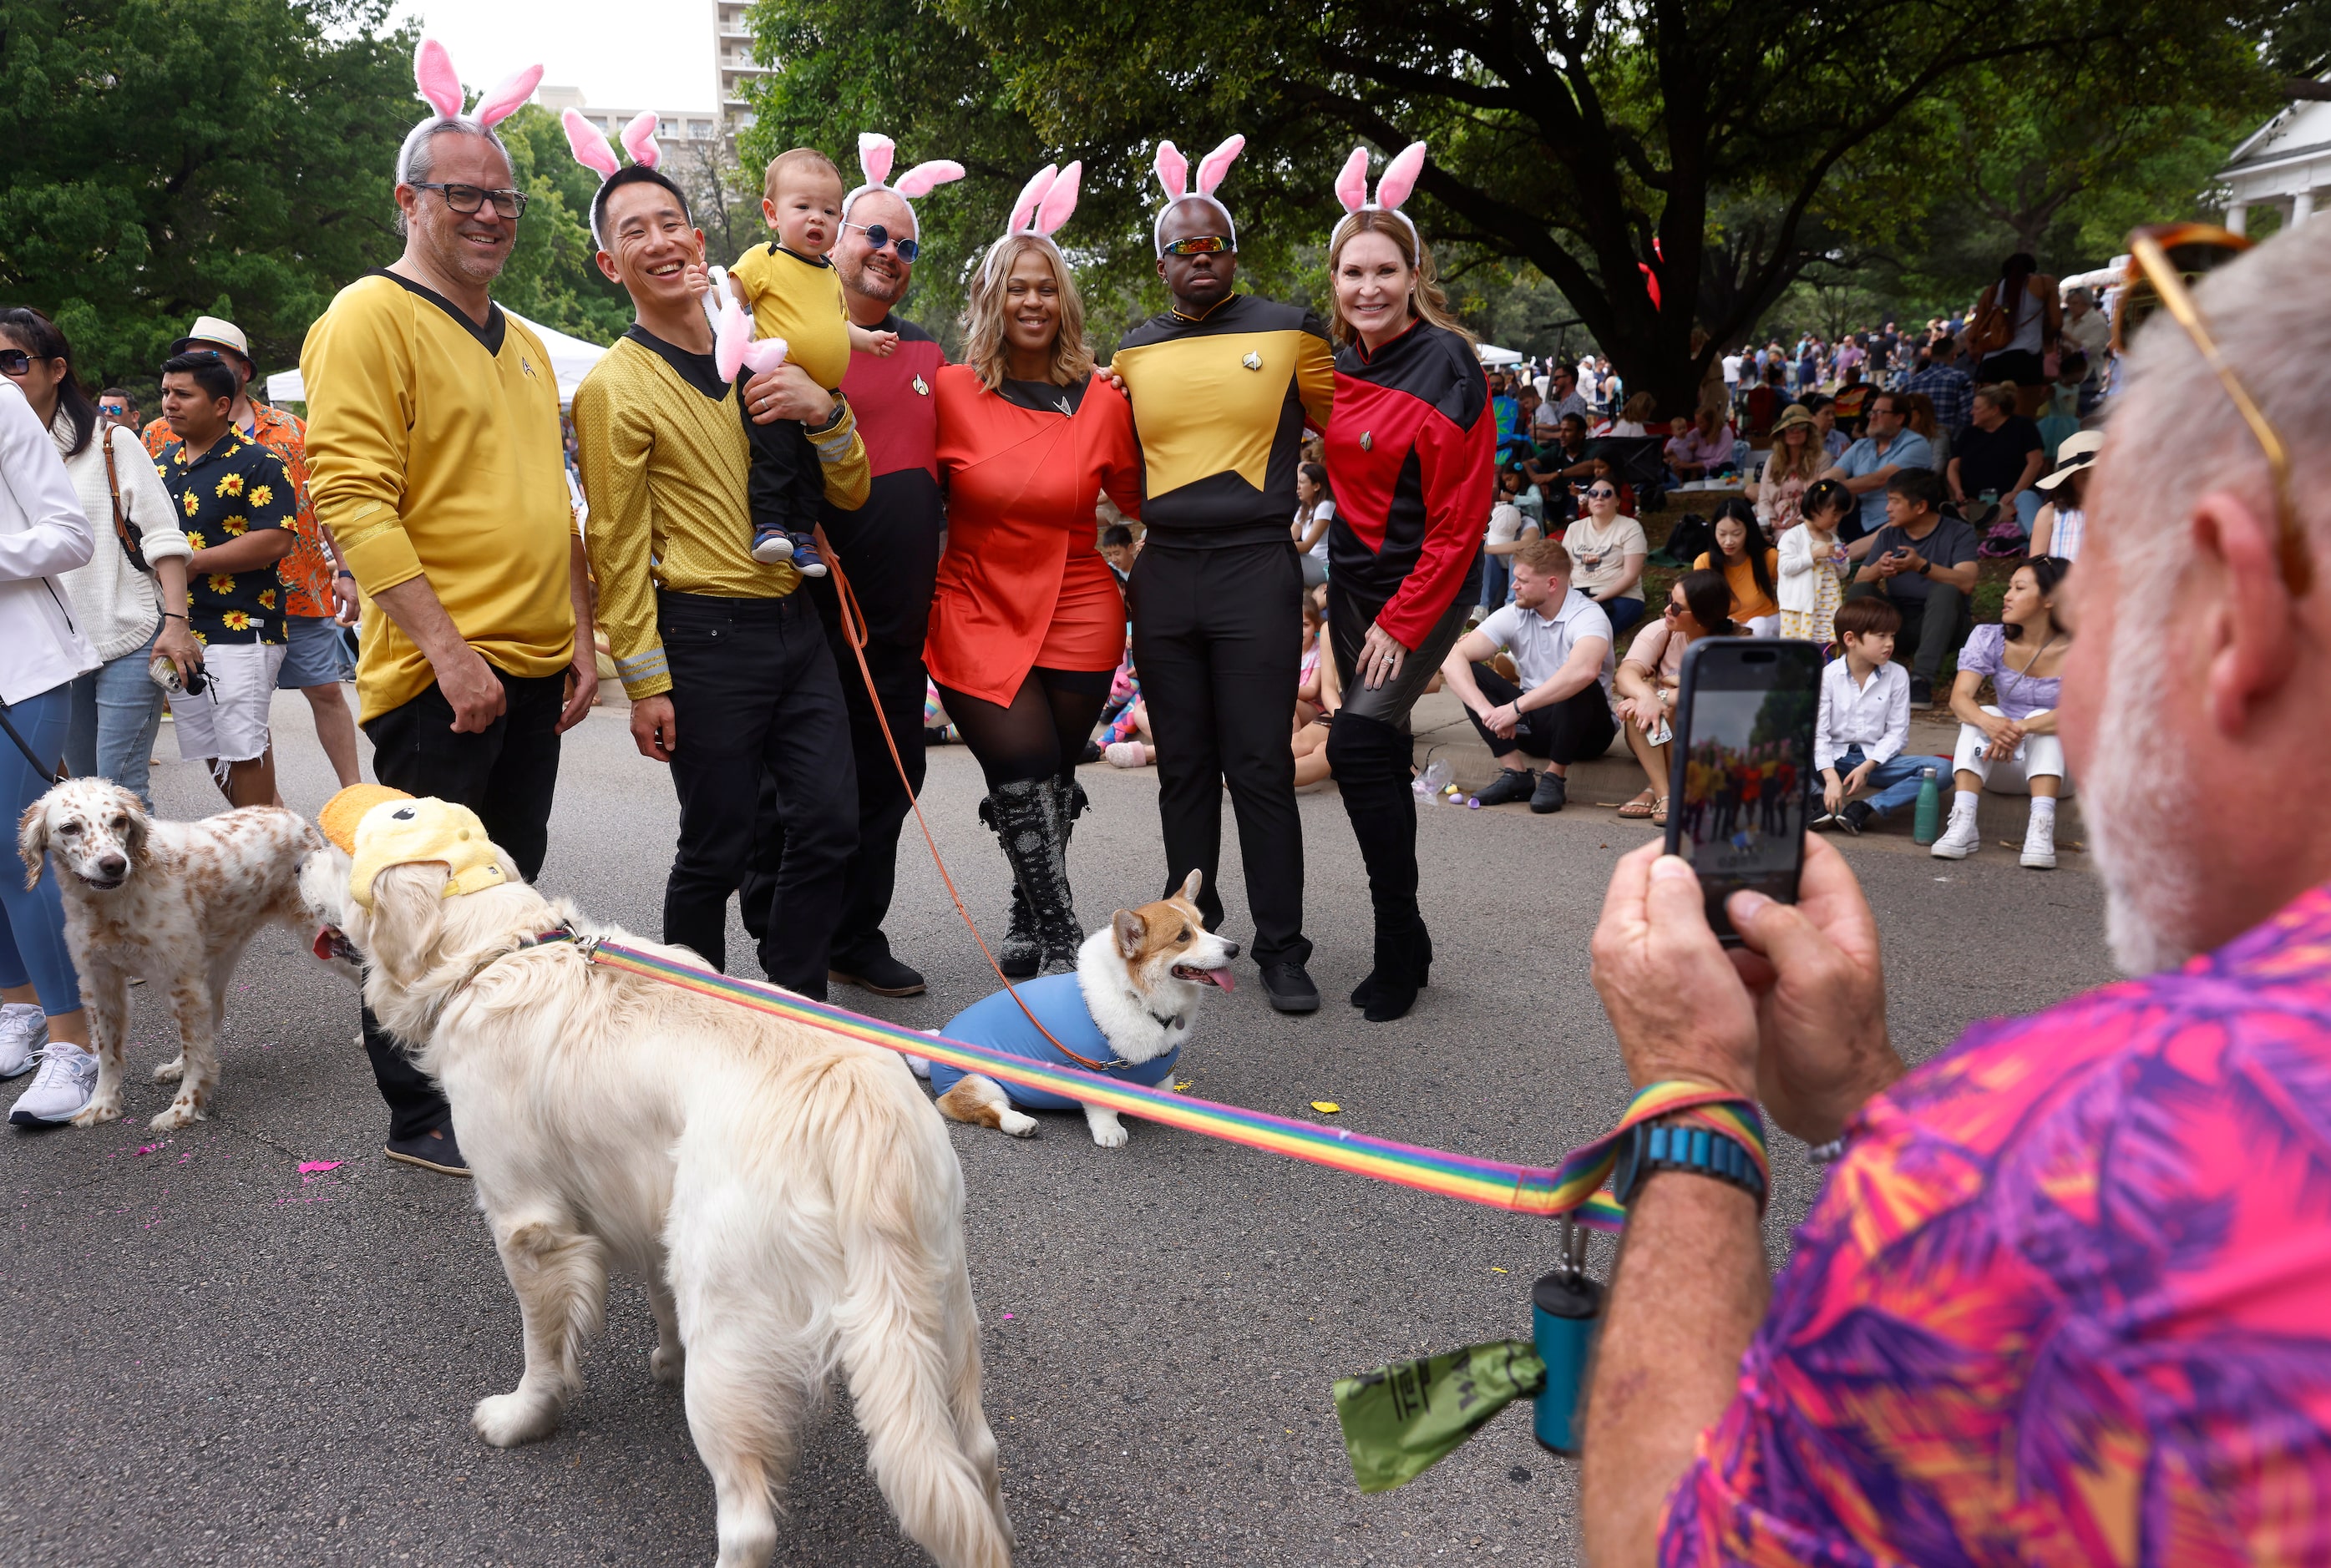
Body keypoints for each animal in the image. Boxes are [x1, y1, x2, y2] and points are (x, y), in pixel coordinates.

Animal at [20, 778, 328, 1127]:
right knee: (211, 1020)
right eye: (70, 828)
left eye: (119, 821)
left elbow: (196, 1053)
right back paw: (176, 1065)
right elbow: (109, 1053)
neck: (112, 904)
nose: (114, 865)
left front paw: (183, 1108)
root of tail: (291, 817)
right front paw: (102, 1104)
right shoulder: (100, 984)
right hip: (216, 959)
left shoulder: (180, 980)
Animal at [305, 829, 1006, 1565]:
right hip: (940, 1307)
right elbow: (656, 1290)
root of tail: (855, 1107)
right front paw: (667, 1359)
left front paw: (522, 1417)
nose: (300, 859)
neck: (504, 950)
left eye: (342, 853)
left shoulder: (529, 1224)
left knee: (750, 1521)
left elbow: (542, 1350)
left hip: (731, 1331)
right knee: (979, 1456)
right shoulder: (643, 1194)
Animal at [909, 876, 1239, 1141]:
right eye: (1183, 937)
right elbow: (1103, 1108)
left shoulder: (1163, 1073)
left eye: (1204, 926)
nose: (1234, 949)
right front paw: (1110, 1132)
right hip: (978, 1080)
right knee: (982, 1107)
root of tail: (937, 1043)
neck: (1135, 994)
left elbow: (1164, 1089)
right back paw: (1021, 1123)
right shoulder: (1093, 1070)